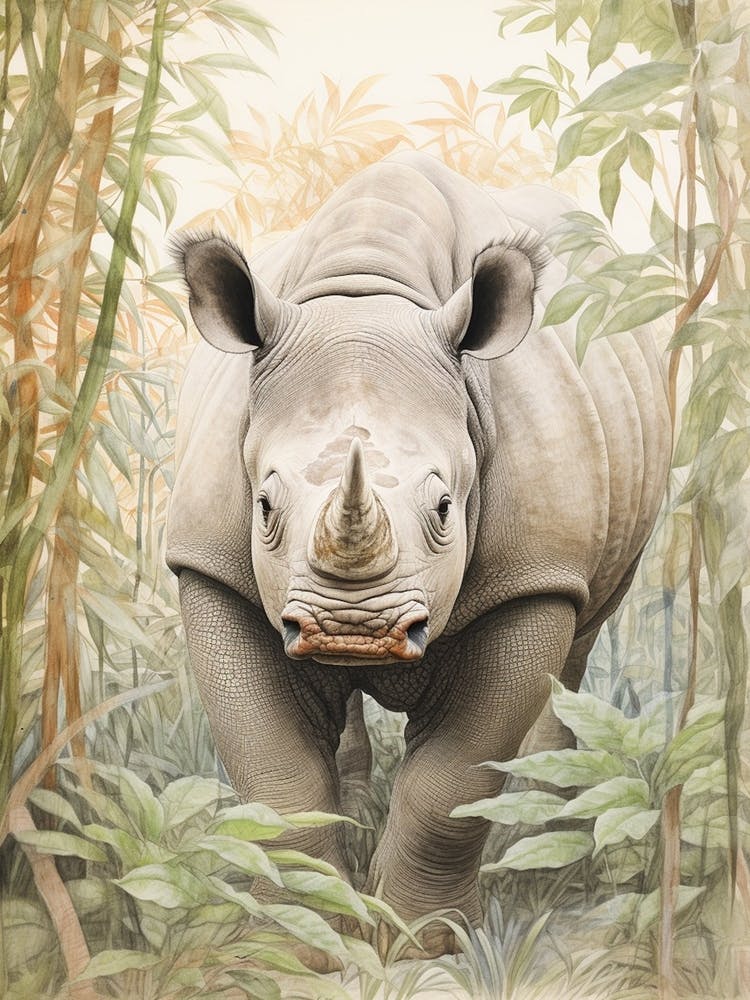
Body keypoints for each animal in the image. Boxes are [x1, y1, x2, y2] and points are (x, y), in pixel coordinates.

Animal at [167, 152, 671, 951]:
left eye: (443, 508)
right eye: (265, 506)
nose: (352, 631)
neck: (367, 294)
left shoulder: (533, 576)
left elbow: (454, 783)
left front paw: (420, 943)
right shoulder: (210, 563)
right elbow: (277, 774)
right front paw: (299, 944)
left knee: (583, 638)